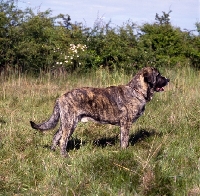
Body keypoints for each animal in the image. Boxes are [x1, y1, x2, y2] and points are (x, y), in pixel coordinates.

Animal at [30, 66, 170, 157]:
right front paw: (124, 152)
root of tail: (60, 98)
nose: (168, 79)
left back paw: (53, 152)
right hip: (70, 123)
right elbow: (125, 140)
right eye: (158, 75)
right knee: (63, 140)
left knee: (56, 136)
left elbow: (122, 139)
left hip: (66, 123)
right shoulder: (126, 124)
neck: (136, 90)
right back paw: (64, 156)